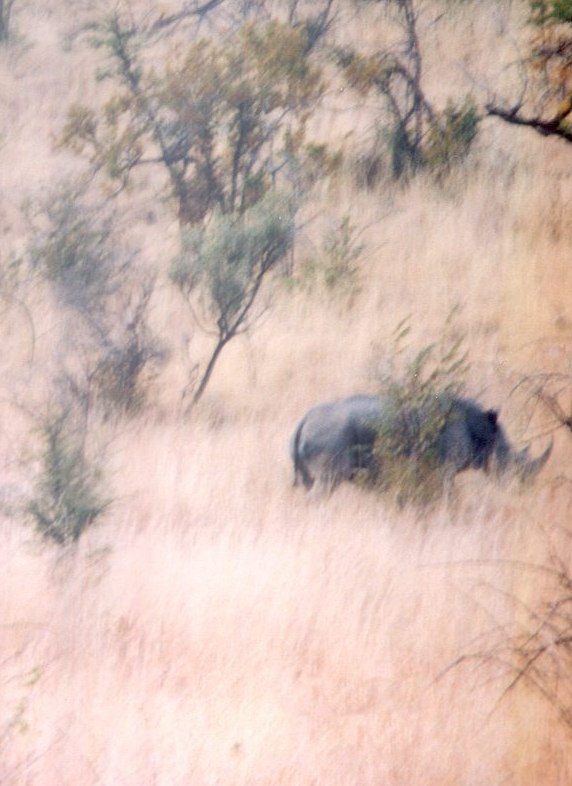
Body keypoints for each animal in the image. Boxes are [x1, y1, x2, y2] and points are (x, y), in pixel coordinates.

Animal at [290, 393, 552, 493]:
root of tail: (302, 421)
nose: (524, 490)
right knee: (326, 483)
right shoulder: (447, 467)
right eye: (510, 462)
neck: (483, 431)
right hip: (330, 438)